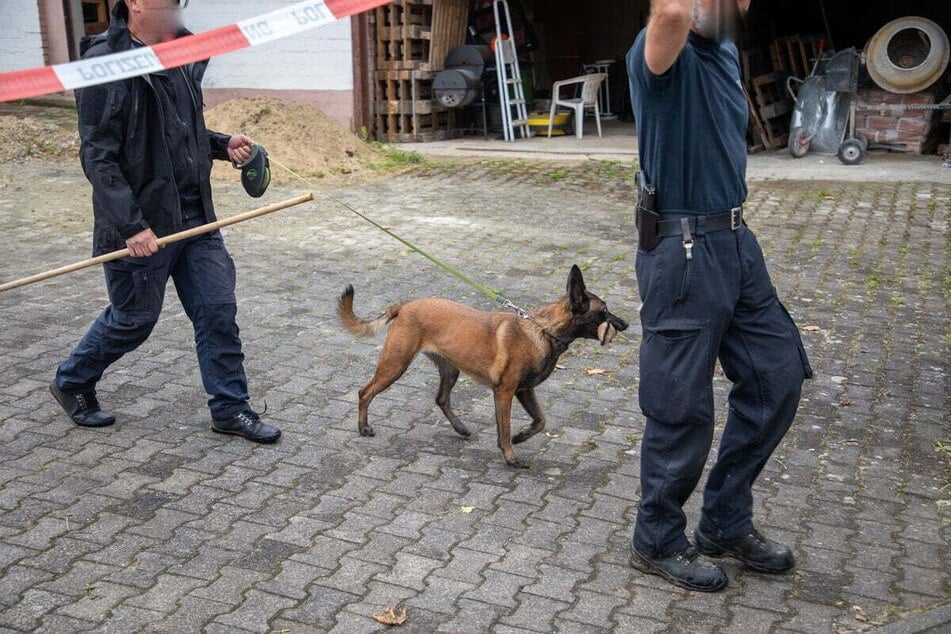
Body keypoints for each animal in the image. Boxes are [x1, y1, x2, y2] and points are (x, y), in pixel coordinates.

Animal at [338, 264, 628, 466]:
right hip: (395, 365)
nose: (626, 324)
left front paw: (520, 437)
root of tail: (404, 305)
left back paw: (460, 428)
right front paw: (510, 456)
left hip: (450, 369)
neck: (543, 331)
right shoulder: (505, 392)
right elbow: (506, 428)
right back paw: (363, 428)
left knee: (441, 398)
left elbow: (540, 421)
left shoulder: (524, 390)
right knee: (365, 392)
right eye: (604, 311)